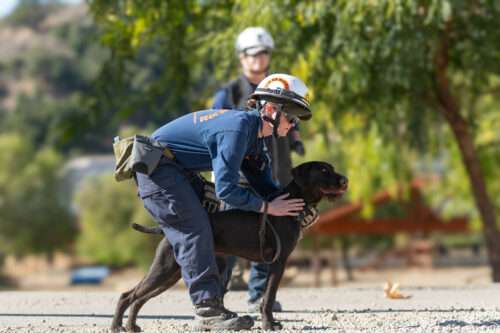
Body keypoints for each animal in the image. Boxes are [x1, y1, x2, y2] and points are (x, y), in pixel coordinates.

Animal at [112, 160, 348, 330]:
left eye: (332, 168)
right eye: (324, 170)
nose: (345, 180)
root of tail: (165, 230)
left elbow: (267, 297)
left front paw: (270, 322)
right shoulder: (278, 262)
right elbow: (268, 297)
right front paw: (269, 324)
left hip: (172, 275)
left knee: (138, 298)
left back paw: (131, 326)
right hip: (165, 269)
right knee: (128, 296)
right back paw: (117, 327)